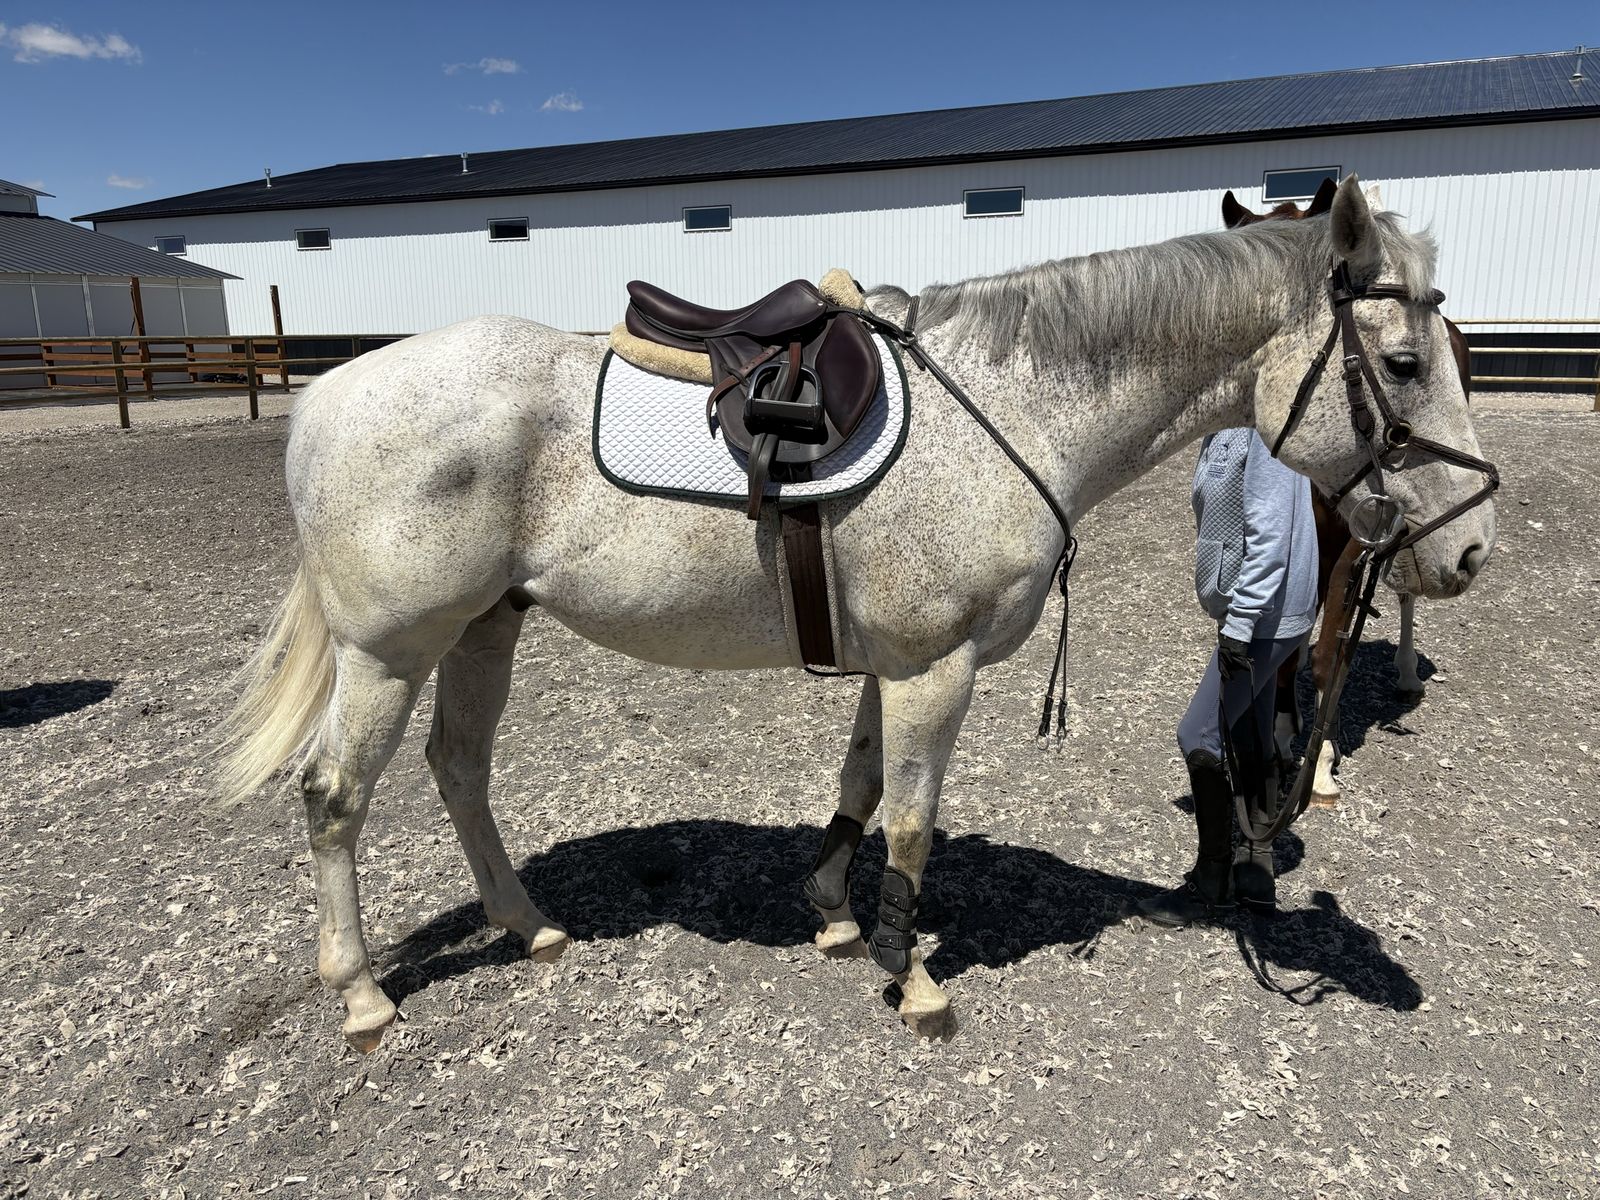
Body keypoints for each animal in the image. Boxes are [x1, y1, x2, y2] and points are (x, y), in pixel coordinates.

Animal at [1222, 180, 1474, 805]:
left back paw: (1405, 671)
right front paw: (1284, 729)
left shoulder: (1353, 541)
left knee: (1407, 592)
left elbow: (1326, 650)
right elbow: (1286, 643)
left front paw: (1322, 762)